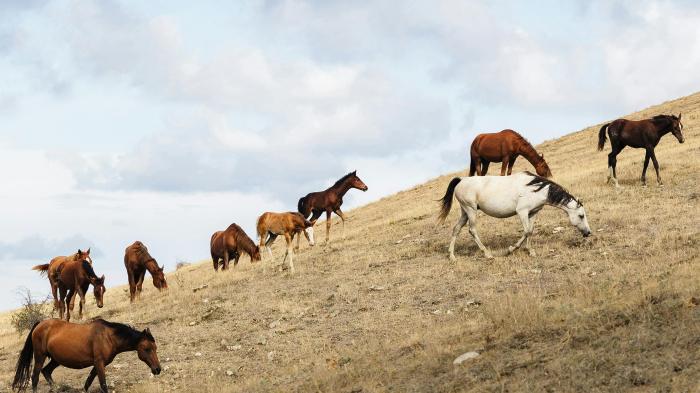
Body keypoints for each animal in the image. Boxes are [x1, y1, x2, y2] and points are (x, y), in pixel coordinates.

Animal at [12, 318, 161, 392]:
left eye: (155, 348)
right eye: (147, 349)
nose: (157, 369)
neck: (108, 336)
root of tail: (39, 324)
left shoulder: (98, 364)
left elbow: (88, 382)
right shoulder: (99, 363)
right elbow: (103, 384)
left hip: (56, 359)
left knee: (46, 372)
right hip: (40, 356)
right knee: (35, 377)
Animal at [438, 172, 592, 260]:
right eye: (581, 216)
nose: (588, 233)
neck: (536, 189)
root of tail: (461, 180)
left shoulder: (533, 213)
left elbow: (531, 231)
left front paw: (530, 251)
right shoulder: (522, 212)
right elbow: (526, 231)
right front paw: (510, 249)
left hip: (465, 212)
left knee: (456, 229)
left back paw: (452, 256)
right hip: (471, 210)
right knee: (472, 230)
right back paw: (487, 254)